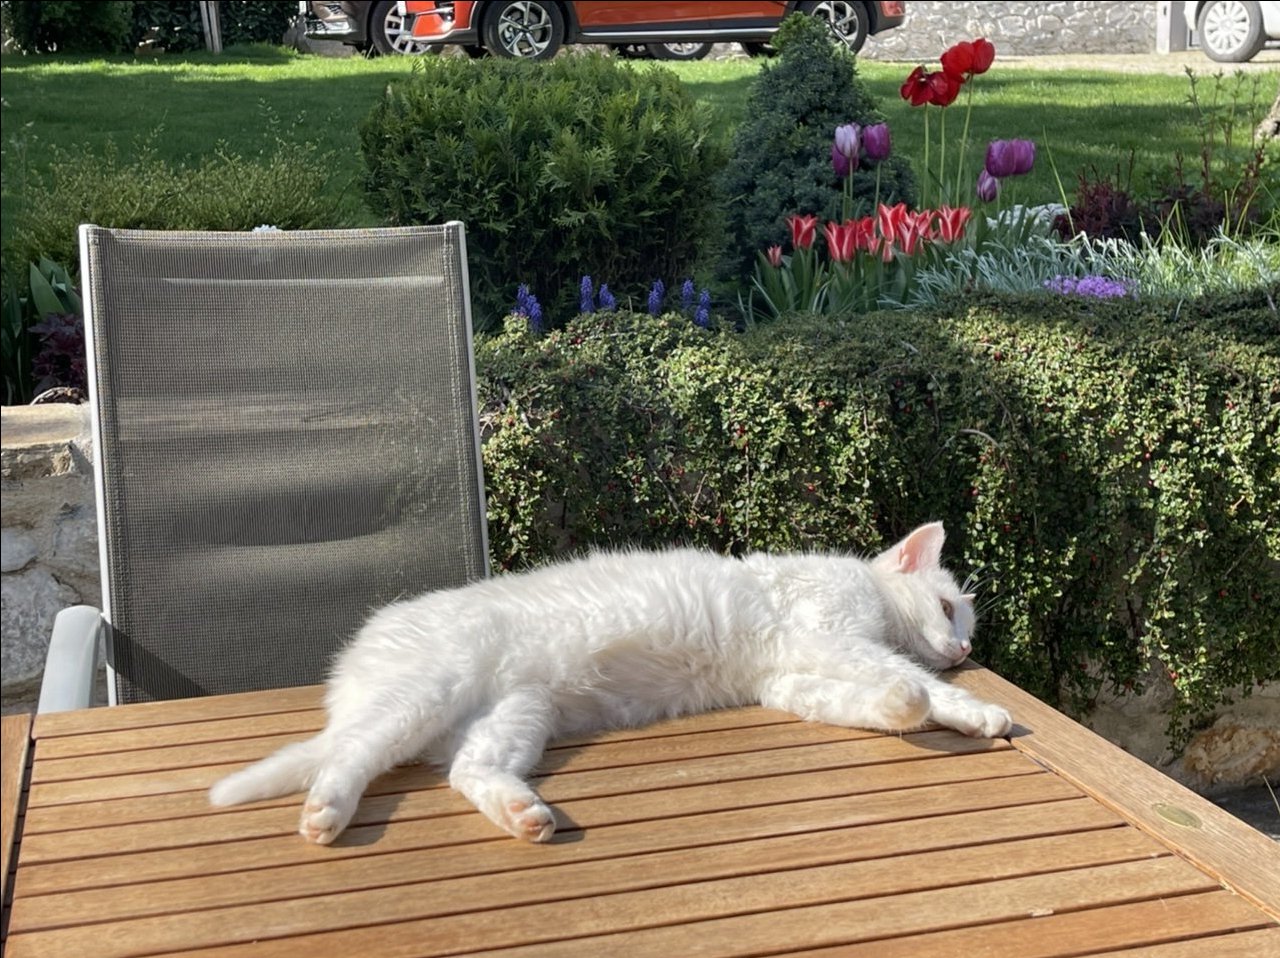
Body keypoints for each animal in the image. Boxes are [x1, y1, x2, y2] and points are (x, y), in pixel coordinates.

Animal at [209, 521, 1012, 845]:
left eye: (964, 622)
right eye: (948, 606)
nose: (966, 645)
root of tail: (355, 658)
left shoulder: (788, 680)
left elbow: (876, 698)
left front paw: (917, 709)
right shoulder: (823, 635)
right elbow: (908, 676)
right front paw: (966, 706)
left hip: (515, 713)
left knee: (467, 771)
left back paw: (523, 817)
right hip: (426, 693)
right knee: (349, 755)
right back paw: (325, 816)